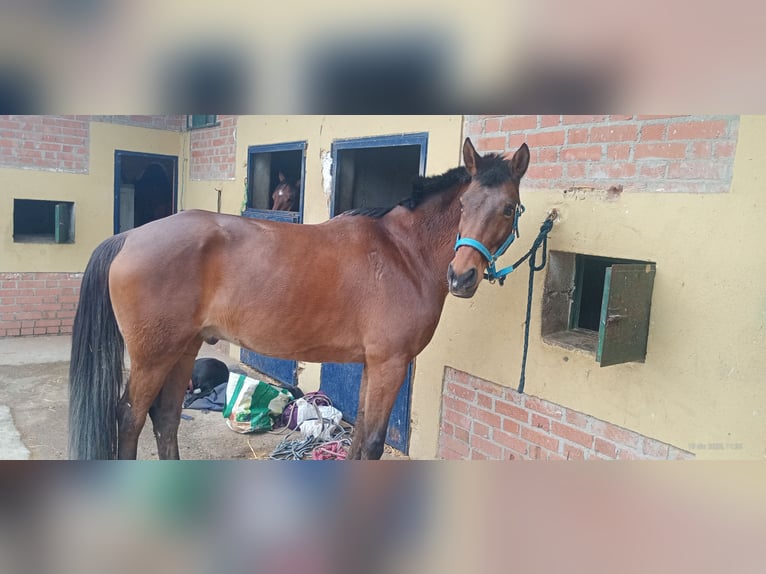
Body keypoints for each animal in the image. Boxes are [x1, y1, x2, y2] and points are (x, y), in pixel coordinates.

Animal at [68, 137, 530, 460]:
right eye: (465, 203)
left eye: (508, 208)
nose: (461, 277)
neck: (403, 253)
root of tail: (129, 237)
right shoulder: (390, 364)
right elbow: (373, 442)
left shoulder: (373, 366)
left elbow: (358, 438)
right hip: (153, 355)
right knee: (129, 419)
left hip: (183, 349)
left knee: (164, 418)